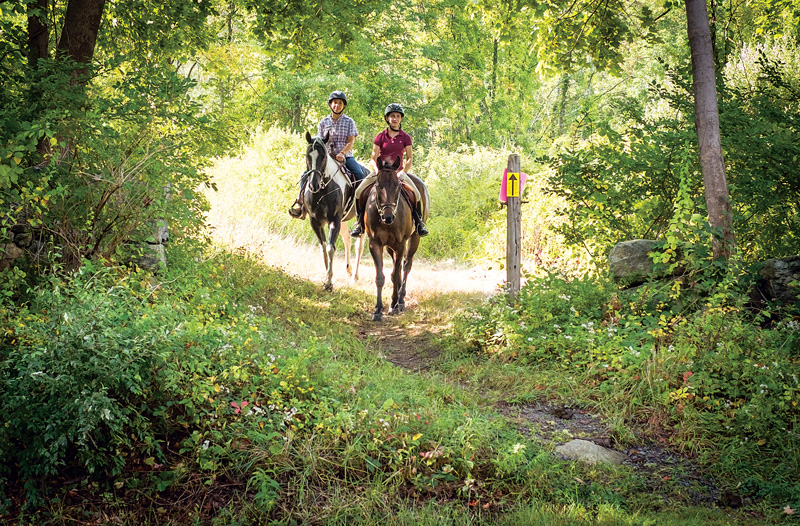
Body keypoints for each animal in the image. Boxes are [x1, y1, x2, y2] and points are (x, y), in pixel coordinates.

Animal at [366, 157, 432, 322]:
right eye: (378, 186)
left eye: (397, 186)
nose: (388, 217)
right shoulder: (375, 244)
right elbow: (380, 277)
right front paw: (378, 310)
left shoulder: (401, 244)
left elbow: (396, 275)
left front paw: (394, 304)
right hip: (389, 247)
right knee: (399, 265)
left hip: (414, 238)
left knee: (407, 265)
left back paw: (401, 300)